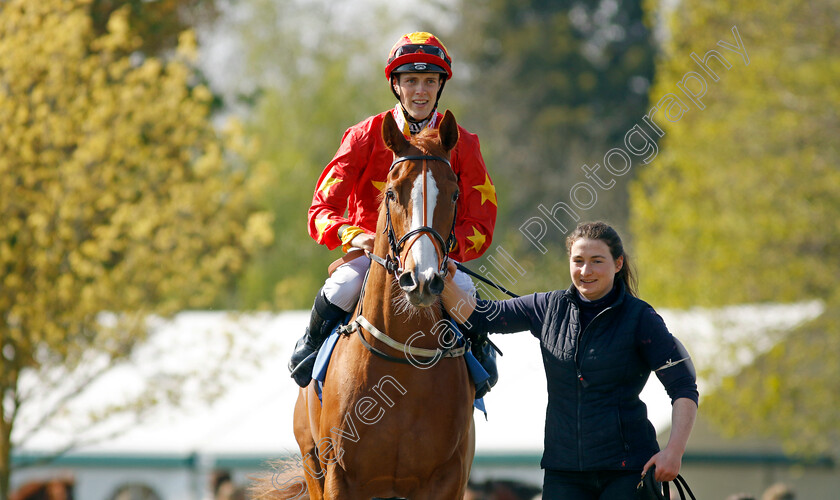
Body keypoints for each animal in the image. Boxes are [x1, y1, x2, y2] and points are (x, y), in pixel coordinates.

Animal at [258, 110, 472, 500]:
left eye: (454, 194)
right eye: (391, 192)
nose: (422, 279)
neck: (402, 359)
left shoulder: (447, 478)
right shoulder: (340, 477)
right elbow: (323, 205)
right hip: (312, 465)